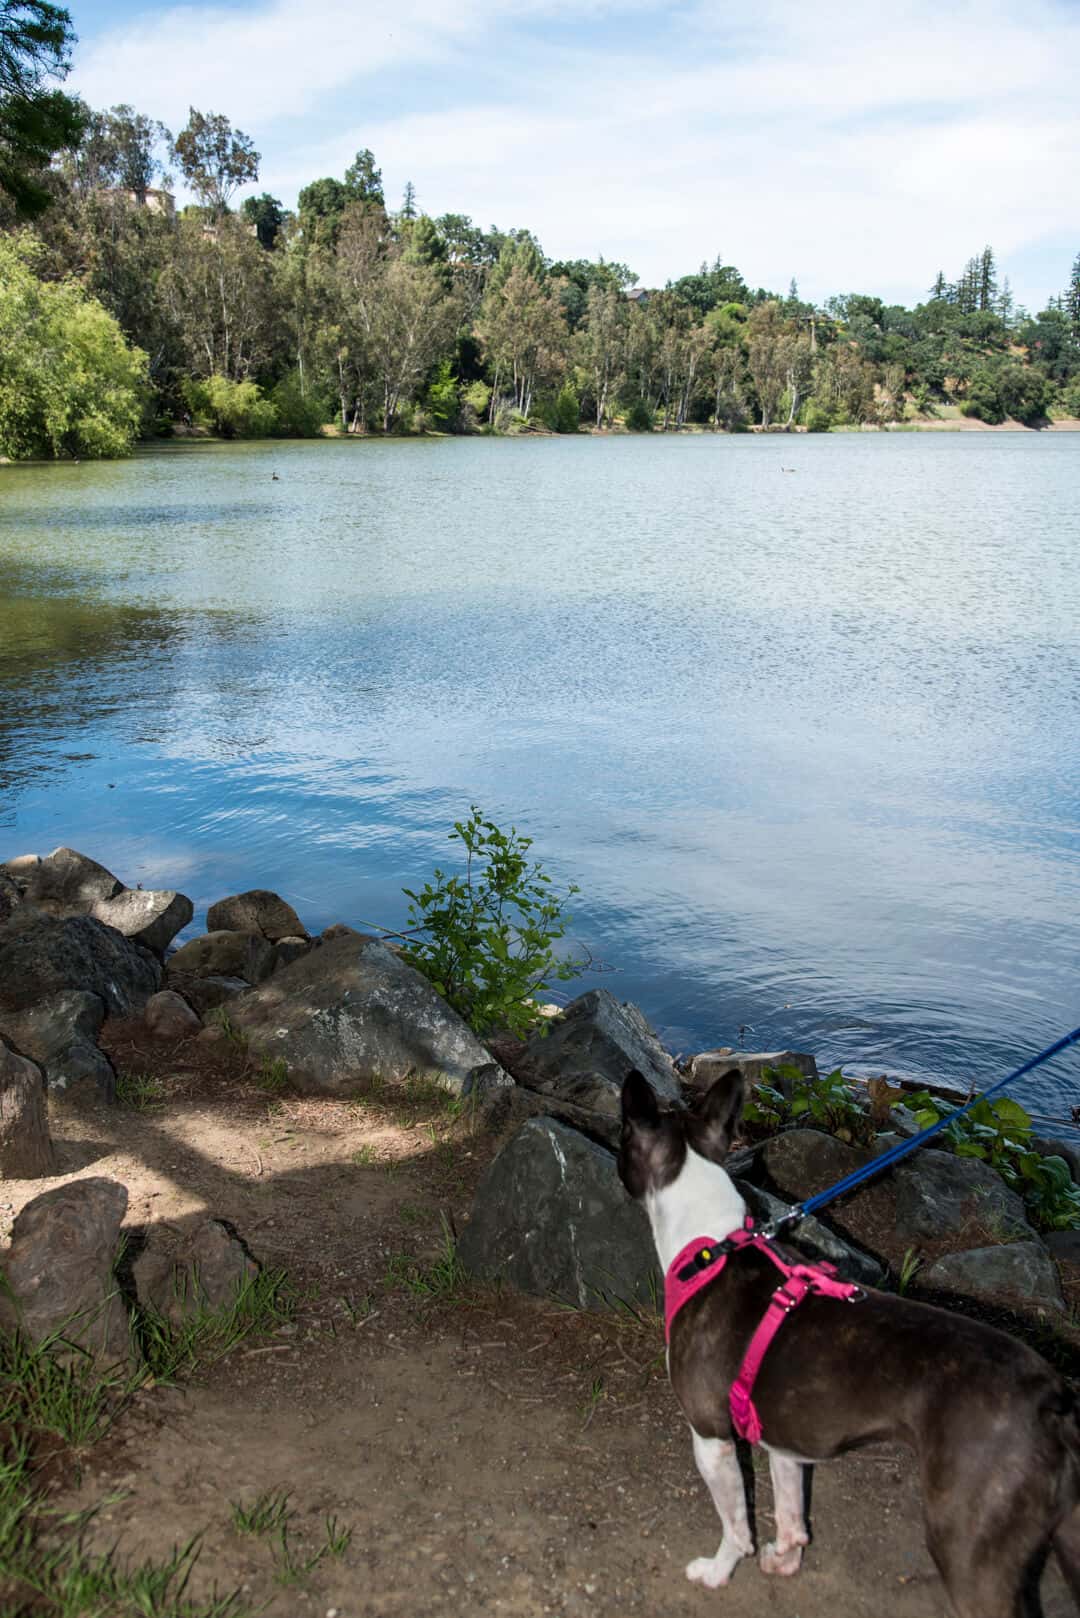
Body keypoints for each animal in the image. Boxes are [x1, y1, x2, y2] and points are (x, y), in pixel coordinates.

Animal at [615, 1061, 1080, 1618]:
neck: (713, 1243)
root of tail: (1050, 1399)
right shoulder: (783, 1438)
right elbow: (790, 1511)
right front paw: (785, 1559)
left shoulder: (712, 1439)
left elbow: (737, 1526)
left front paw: (719, 1571)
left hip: (969, 1545)